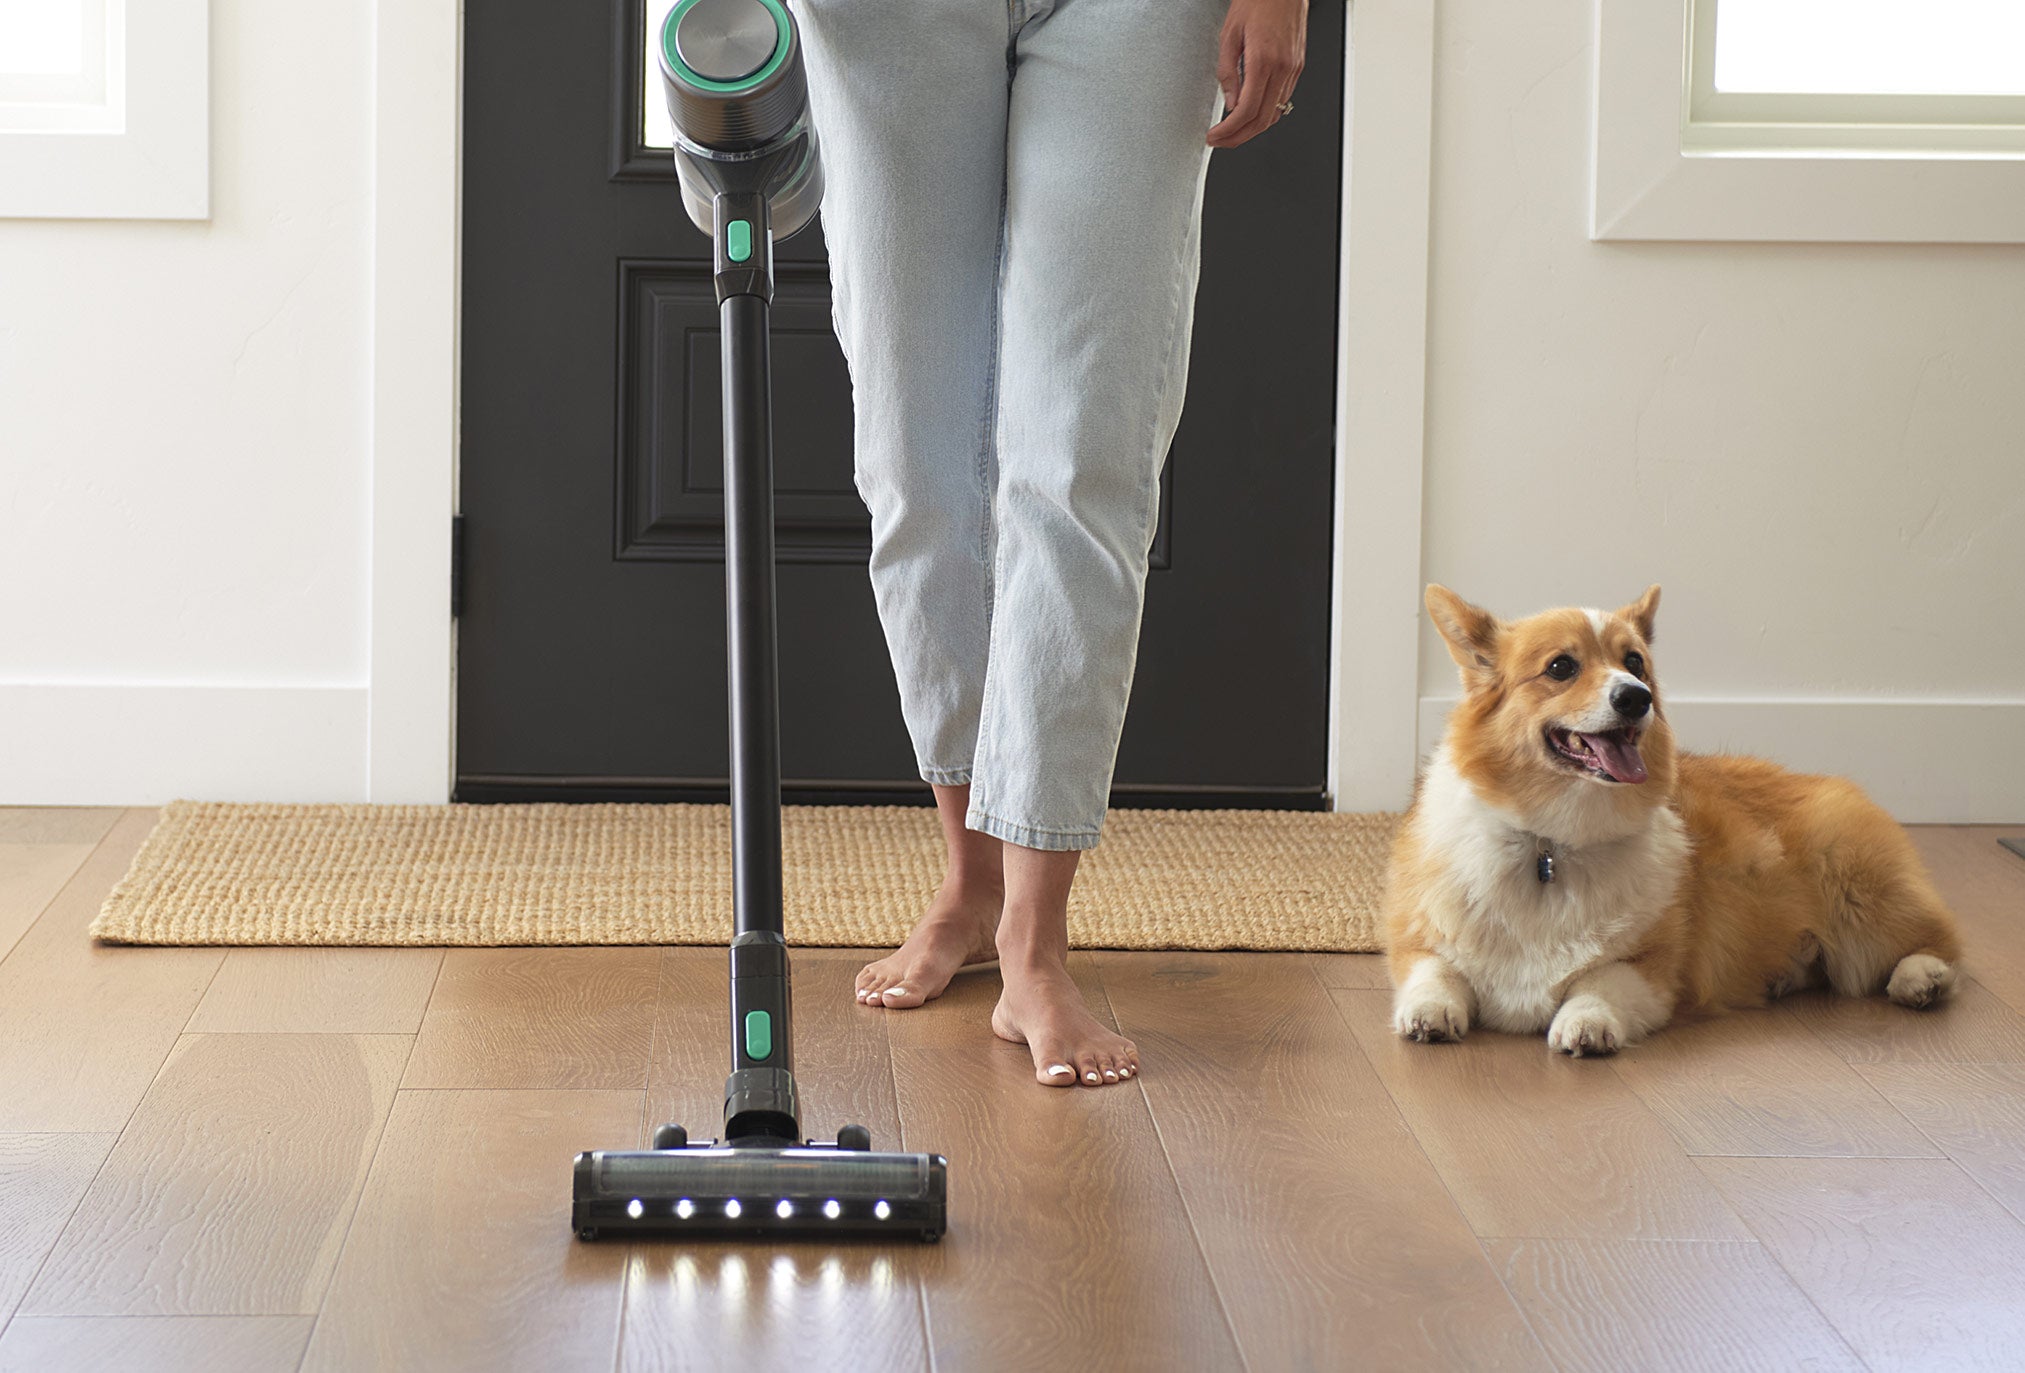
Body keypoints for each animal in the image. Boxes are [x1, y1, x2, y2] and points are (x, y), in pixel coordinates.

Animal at [1385, 587, 1968, 1061]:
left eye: (1635, 663)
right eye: (1560, 667)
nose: (1635, 697)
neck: (1552, 843)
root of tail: (1824, 780)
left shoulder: (1656, 970)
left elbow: (1599, 982)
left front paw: (1586, 1023)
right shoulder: (1419, 939)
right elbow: (1434, 971)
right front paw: (1429, 1013)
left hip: (1862, 895)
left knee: (1940, 940)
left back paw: (1922, 977)